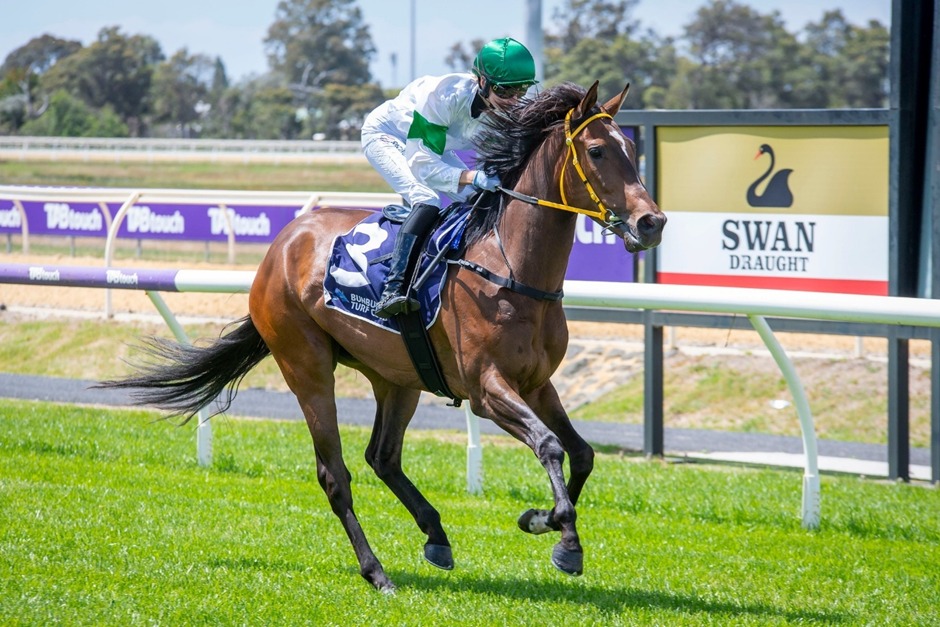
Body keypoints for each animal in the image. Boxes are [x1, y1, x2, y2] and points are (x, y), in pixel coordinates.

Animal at [100, 80, 666, 592]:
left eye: (631, 146)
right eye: (597, 150)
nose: (652, 221)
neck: (509, 268)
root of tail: (281, 244)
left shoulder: (537, 383)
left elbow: (582, 452)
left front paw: (541, 520)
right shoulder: (487, 389)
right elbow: (549, 445)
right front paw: (565, 541)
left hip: (397, 376)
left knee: (383, 456)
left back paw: (436, 535)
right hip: (306, 366)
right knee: (336, 474)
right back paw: (376, 571)